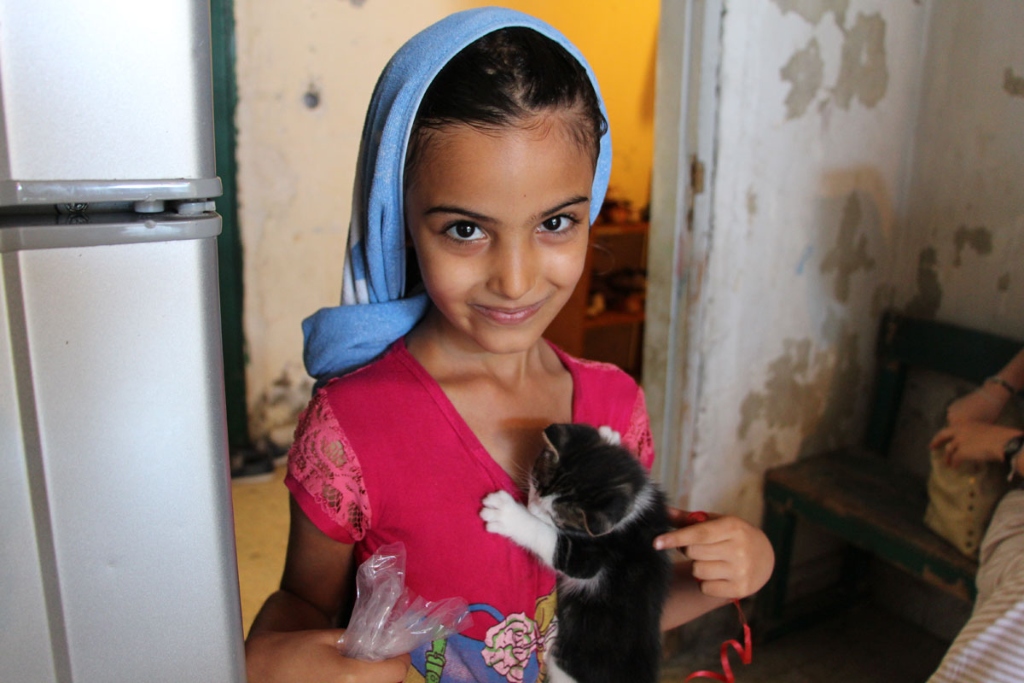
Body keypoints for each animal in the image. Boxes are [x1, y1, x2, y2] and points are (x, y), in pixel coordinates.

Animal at [479, 421, 671, 683]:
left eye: (556, 517)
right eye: (536, 485)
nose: (530, 507)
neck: (634, 499)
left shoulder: (592, 558)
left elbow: (553, 543)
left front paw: (508, 515)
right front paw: (609, 435)